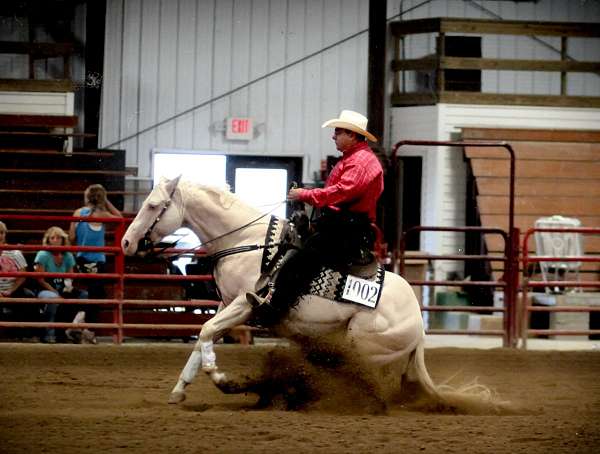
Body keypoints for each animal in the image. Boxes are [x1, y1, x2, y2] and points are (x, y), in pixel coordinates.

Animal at [122, 176, 440, 408]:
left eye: (153, 205)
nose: (126, 243)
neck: (246, 240)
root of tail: (419, 327)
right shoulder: (227, 305)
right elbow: (203, 338)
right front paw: (179, 390)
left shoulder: (244, 305)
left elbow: (206, 332)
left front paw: (219, 376)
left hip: (360, 345)